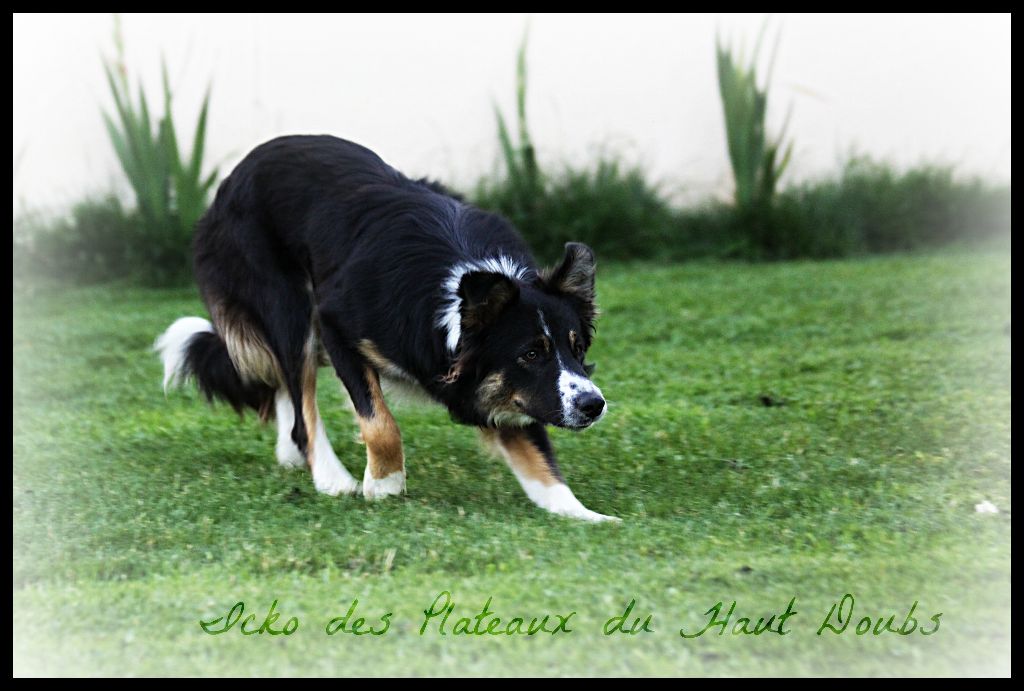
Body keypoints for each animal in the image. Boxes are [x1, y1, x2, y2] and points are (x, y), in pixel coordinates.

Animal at [152, 134, 614, 524]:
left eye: (577, 349)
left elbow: (538, 458)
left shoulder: (507, 390)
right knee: (300, 395)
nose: (594, 405)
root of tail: (234, 176)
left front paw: (585, 515)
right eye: (530, 353)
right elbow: (379, 423)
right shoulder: (336, 324)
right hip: (286, 304)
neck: (457, 297)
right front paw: (384, 483)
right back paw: (330, 477)